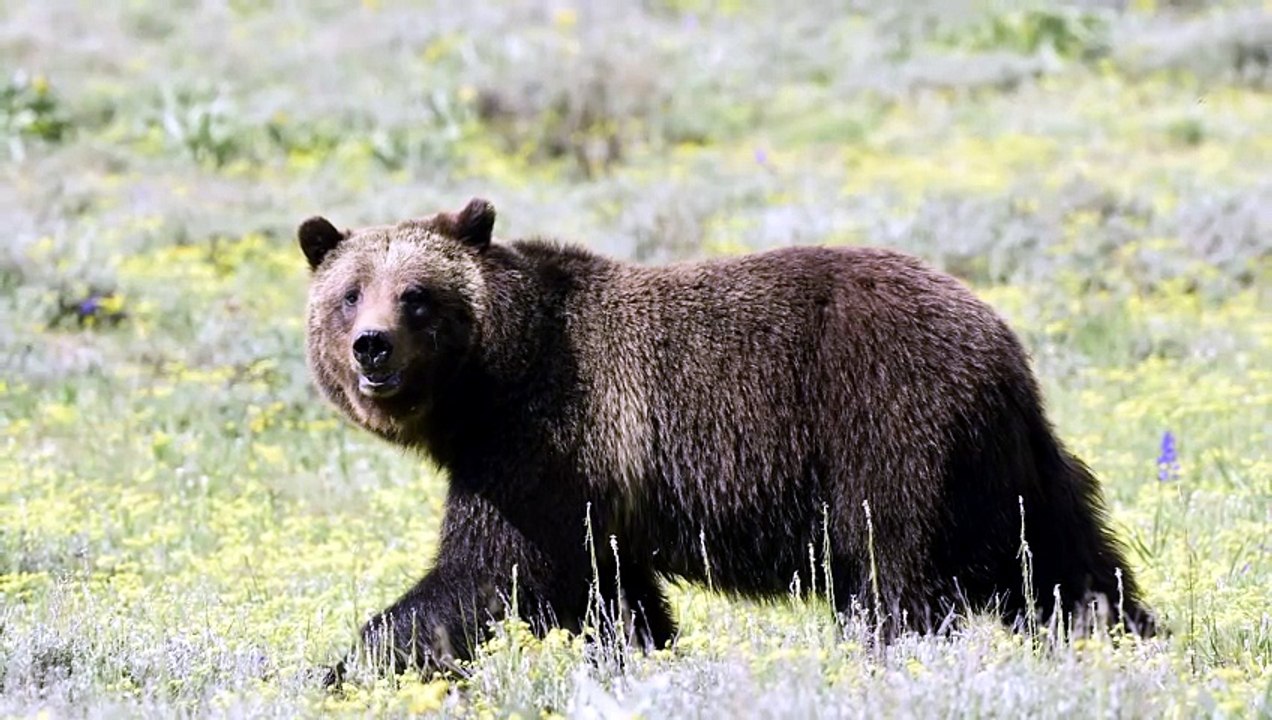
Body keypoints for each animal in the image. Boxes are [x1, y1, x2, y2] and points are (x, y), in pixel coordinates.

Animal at [299, 198, 1155, 679]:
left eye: (416, 294)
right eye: (349, 293)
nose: (372, 347)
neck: (487, 384)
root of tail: (998, 338)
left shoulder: (544, 444)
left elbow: (486, 573)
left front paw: (343, 668)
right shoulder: (592, 492)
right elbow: (612, 599)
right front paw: (640, 660)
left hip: (889, 423)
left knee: (894, 571)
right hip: (1004, 461)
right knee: (1062, 559)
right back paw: (1127, 638)